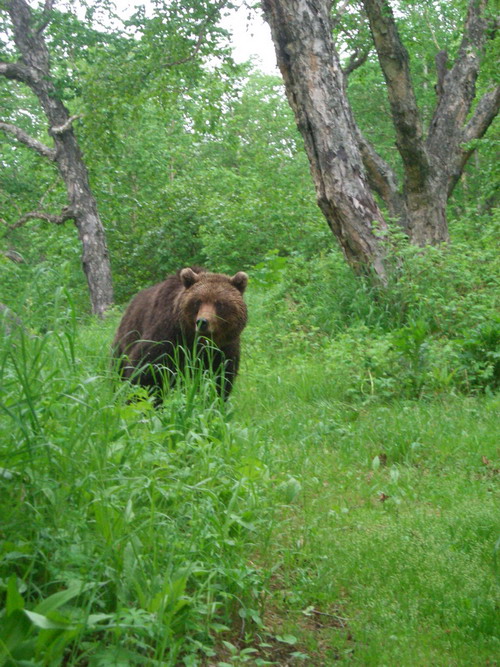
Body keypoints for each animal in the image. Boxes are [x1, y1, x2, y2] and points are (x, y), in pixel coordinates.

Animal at [112, 266, 248, 400]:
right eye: (197, 301)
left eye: (220, 303)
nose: (202, 322)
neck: (196, 340)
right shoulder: (167, 335)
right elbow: (146, 369)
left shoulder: (224, 348)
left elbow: (220, 378)